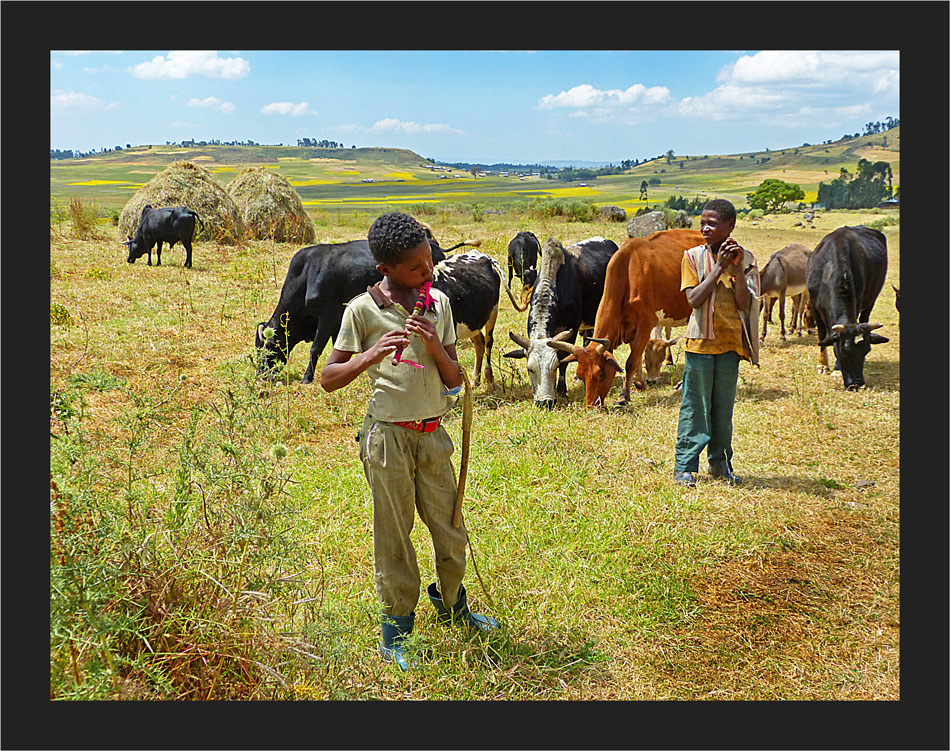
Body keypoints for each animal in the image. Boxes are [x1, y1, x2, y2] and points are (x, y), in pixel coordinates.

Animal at [502, 236, 620, 408]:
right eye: (530, 369)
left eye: (554, 366)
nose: (545, 402)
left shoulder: (572, 327)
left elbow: (564, 356)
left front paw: (562, 389)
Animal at [552, 228, 708, 408]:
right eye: (581, 375)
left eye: (601, 374)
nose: (591, 406)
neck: (629, 274)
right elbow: (638, 357)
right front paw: (640, 383)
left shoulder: (645, 325)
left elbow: (631, 362)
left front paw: (623, 397)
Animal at [808, 223, 888, 388]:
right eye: (844, 352)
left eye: (866, 351)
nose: (857, 384)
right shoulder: (814, 306)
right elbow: (822, 335)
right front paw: (822, 365)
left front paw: (837, 370)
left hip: (871, 299)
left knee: (865, 317)